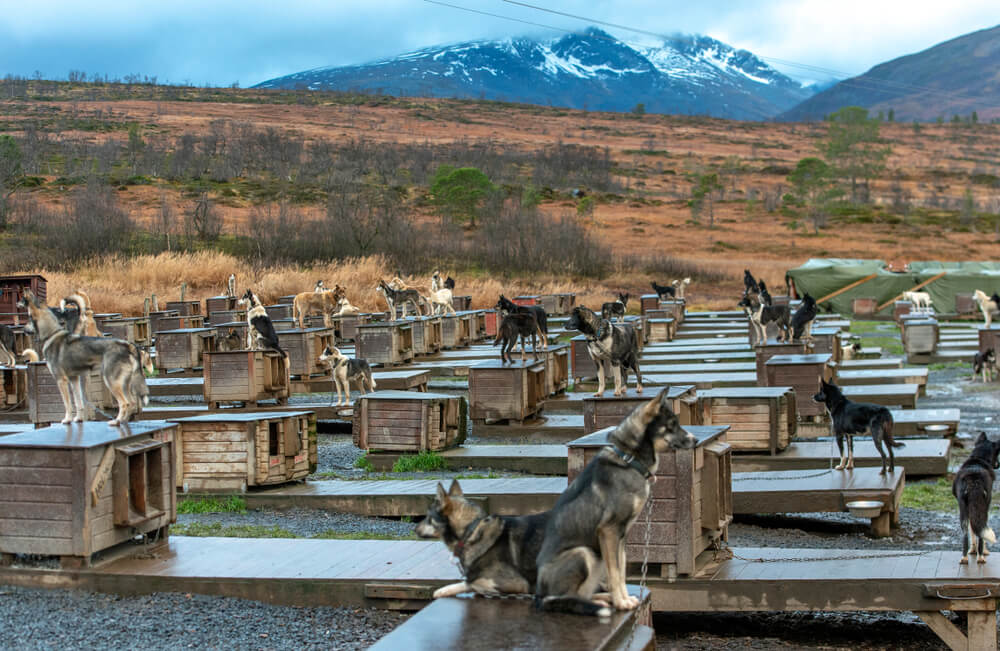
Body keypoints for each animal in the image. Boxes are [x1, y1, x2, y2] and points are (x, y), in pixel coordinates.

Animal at [418, 478, 552, 600]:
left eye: (428, 517)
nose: (415, 528)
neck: (470, 530)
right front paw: (443, 591)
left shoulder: (517, 583)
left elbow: (472, 582)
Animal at [536, 390, 700, 620]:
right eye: (672, 425)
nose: (697, 440)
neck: (630, 460)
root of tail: (539, 596)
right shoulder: (609, 531)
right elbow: (614, 573)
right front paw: (621, 603)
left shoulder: (622, 535)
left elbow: (621, 572)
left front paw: (623, 599)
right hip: (584, 553)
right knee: (566, 597)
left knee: (583, 593)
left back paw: (603, 599)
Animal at [952, 432, 1000, 564]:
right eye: (997, 453)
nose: (998, 465)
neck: (979, 459)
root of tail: (974, 480)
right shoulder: (986, 506)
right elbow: (978, 531)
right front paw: (981, 551)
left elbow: (973, 530)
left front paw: (973, 550)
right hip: (981, 507)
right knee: (980, 533)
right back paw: (981, 557)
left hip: (963, 509)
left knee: (965, 534)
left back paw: (964, 558)